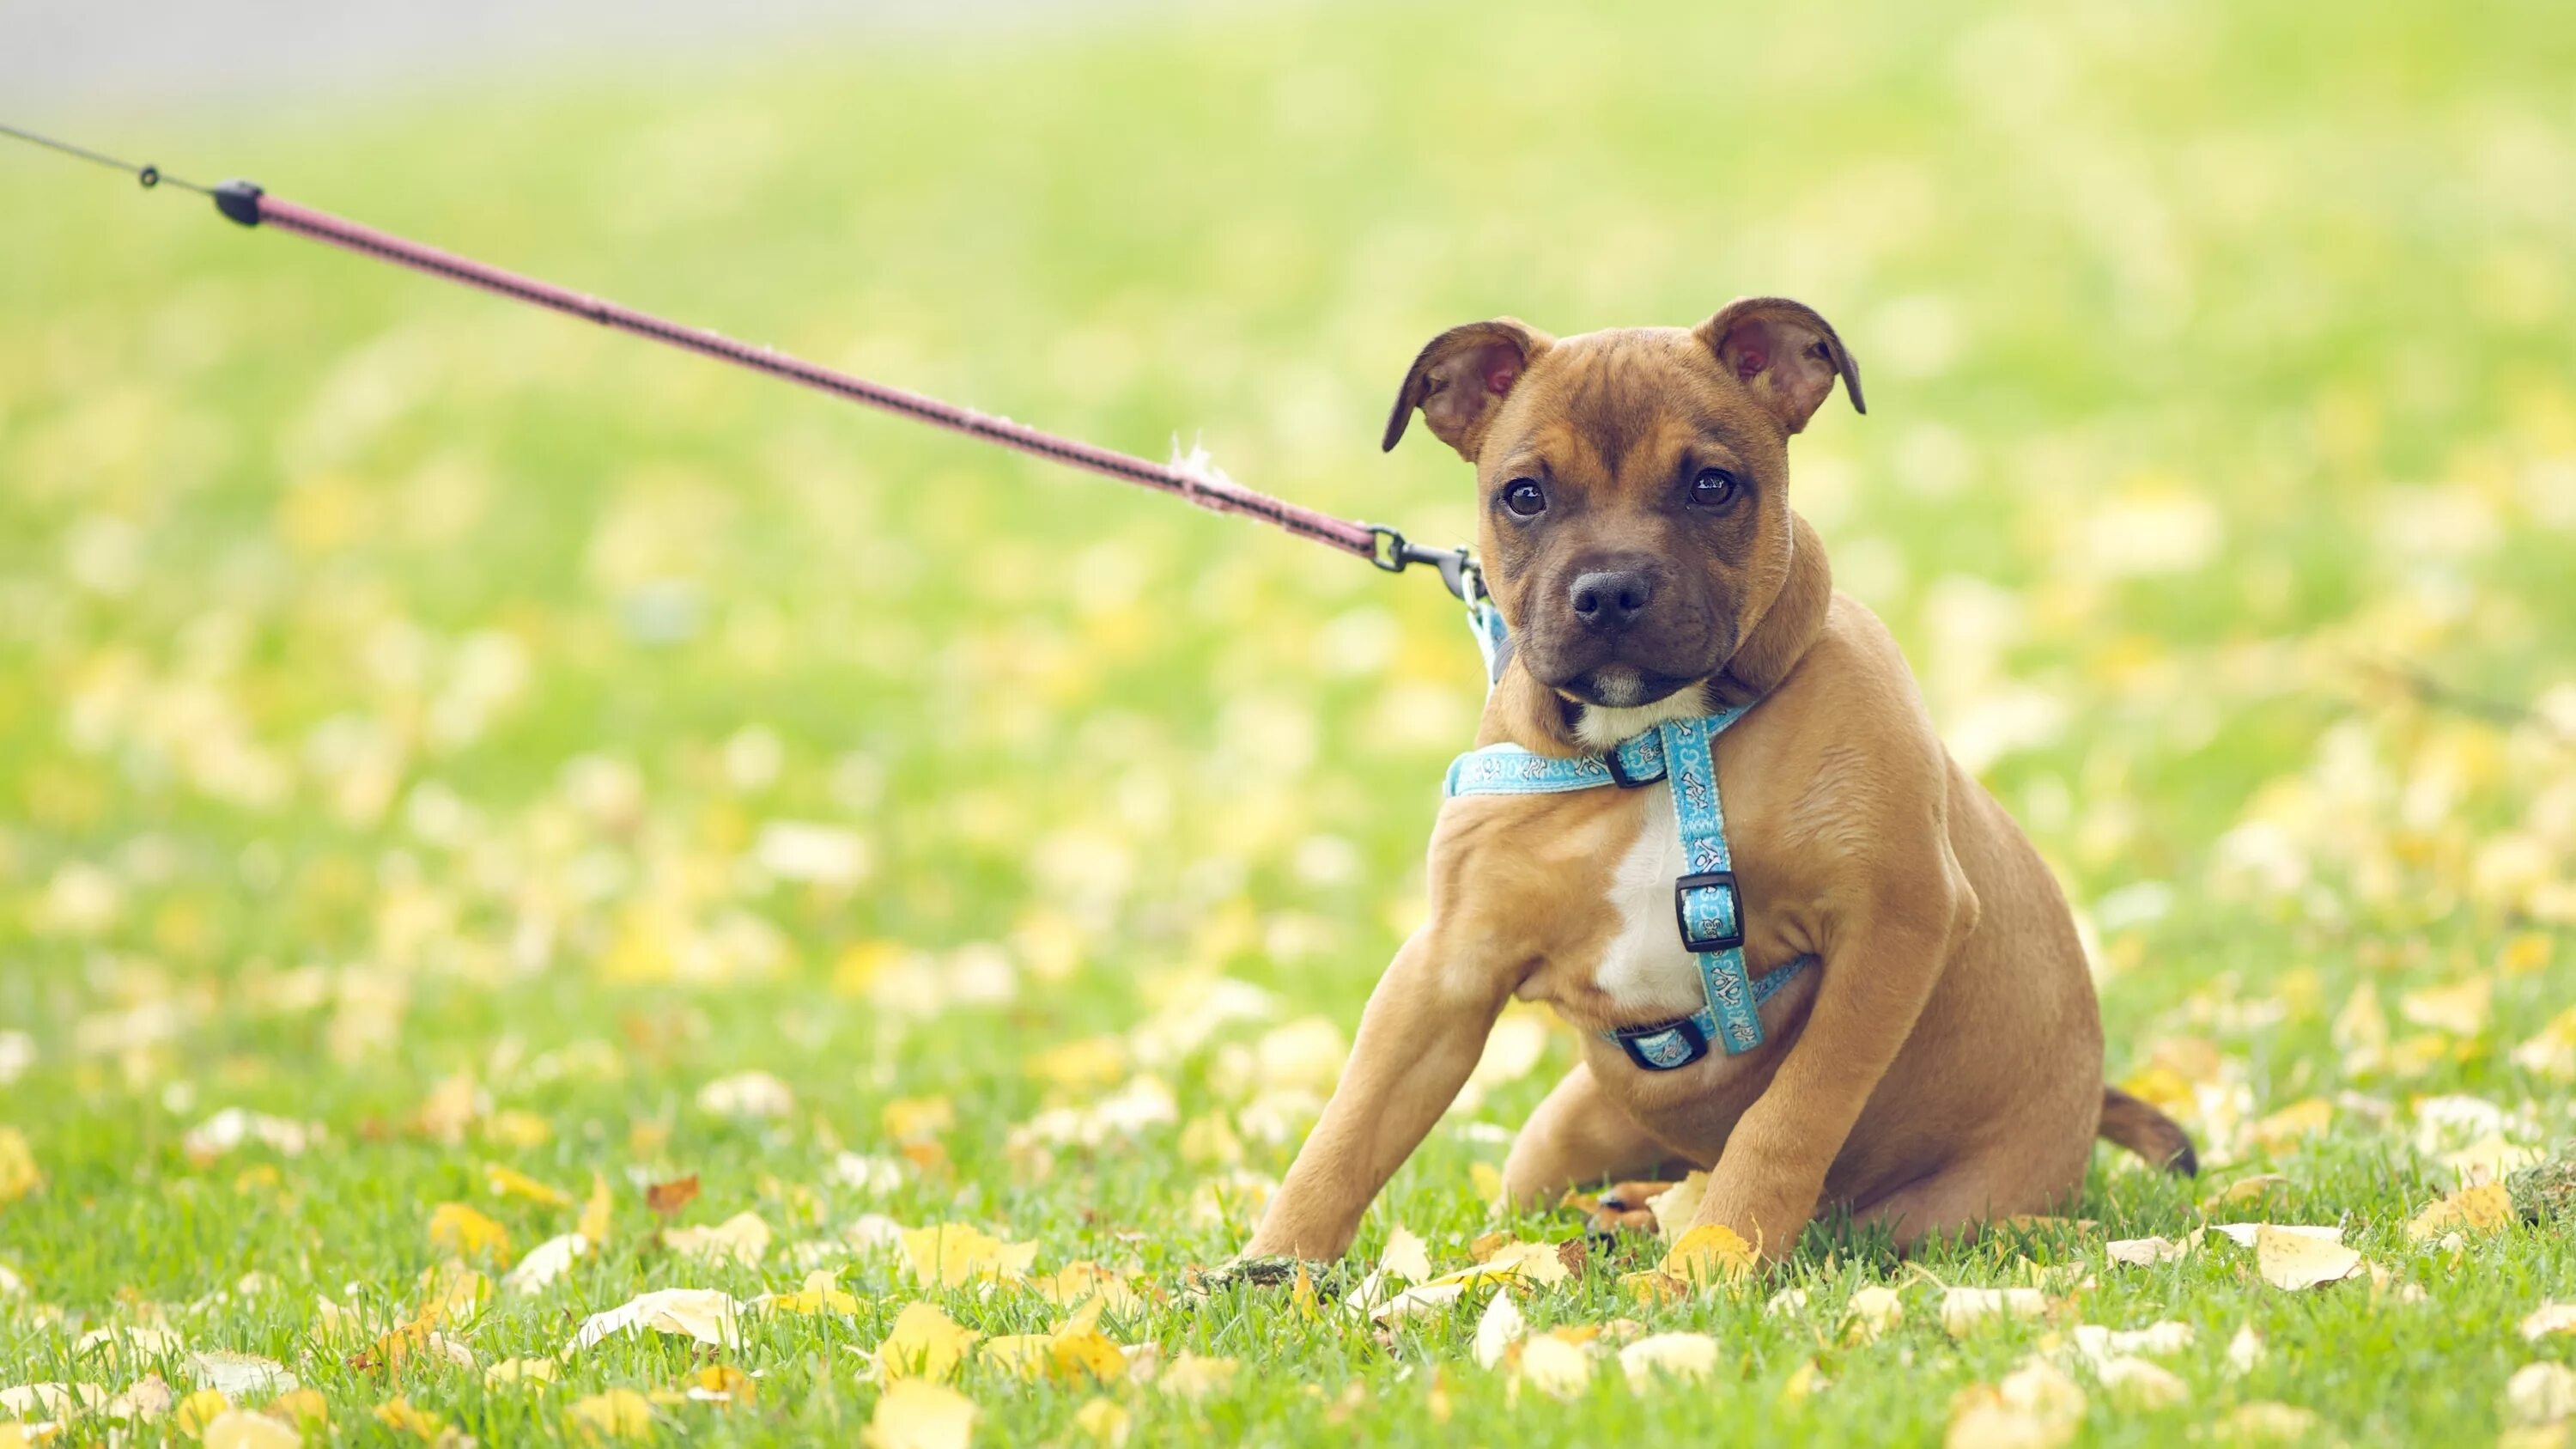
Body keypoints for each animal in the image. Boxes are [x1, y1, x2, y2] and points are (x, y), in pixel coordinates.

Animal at [1247, 299, 2195, 1257]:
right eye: (1524, 496)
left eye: (1712, 486)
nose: (1610, 590)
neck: (1658, 742)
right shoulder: (1447, 968)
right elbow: (1348, 1131)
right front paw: (1274, 1268)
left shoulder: (1893, 922)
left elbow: (1789, 1118)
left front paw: (1717, 1258)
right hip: (1554, 1139)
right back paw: (1623, 1214)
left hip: (1946, 1214)